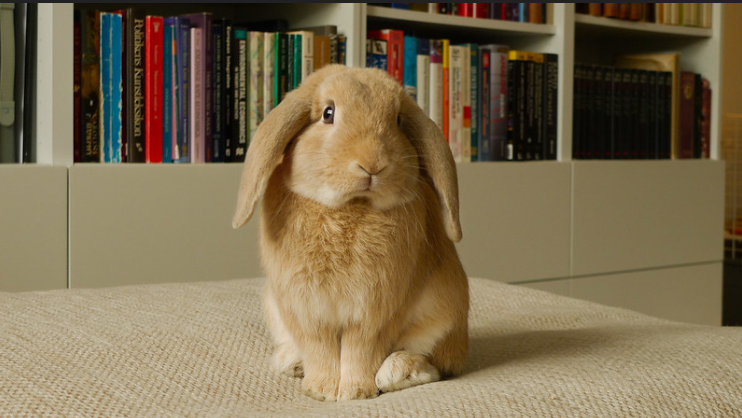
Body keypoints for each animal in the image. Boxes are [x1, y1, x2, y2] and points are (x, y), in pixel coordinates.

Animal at [232, 63, 468, 400]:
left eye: (397, 121)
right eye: (328, 113)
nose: (372, 165)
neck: (349, 207)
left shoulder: (375, 311)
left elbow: (361, 350)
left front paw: (355, 392)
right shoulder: (306, 310)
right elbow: (320, 348)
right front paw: (321, 390)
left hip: (444, 317)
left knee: (437, 364)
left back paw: (396, 371)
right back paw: (291, 362)